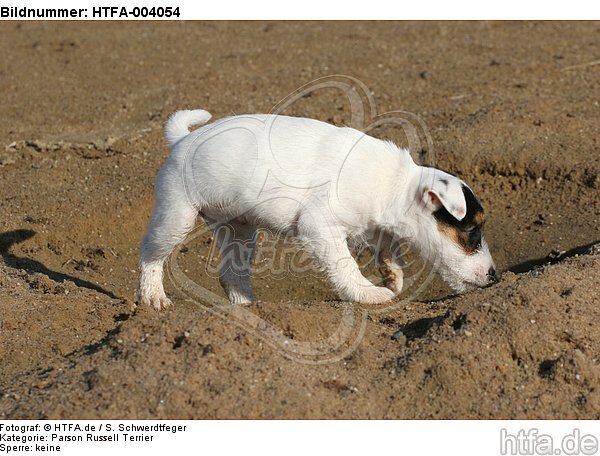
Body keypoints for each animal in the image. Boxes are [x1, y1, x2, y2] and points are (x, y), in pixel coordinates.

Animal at [137, 110, 496, 310]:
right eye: (471, 230)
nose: (494, 276)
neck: (395, 184)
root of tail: (182, 140)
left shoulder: (377, 226)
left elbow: (388, 249)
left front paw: (393, 277)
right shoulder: (319, 226)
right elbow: (345, 266)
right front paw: (369, 293)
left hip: (240, 231)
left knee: (231, 274)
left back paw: (246, 306)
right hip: (177, 217)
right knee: (149, 254)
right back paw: (153, 297)